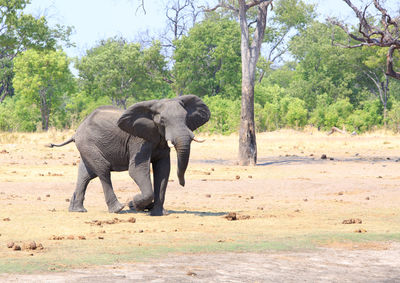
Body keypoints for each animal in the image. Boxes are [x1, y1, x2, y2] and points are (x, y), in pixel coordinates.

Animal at [47, 95, 211, 217]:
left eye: (185, 118)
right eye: (163, 121)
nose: (182, 183)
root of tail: (76, 132)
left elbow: (163, 170)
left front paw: (158, 212)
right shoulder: (138, 140)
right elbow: (137, 170)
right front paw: (134, 203)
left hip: (86, 146)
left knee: (86, 174)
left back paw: (77, 210)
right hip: (88, 143)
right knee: (103, 170)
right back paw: (118, 209)